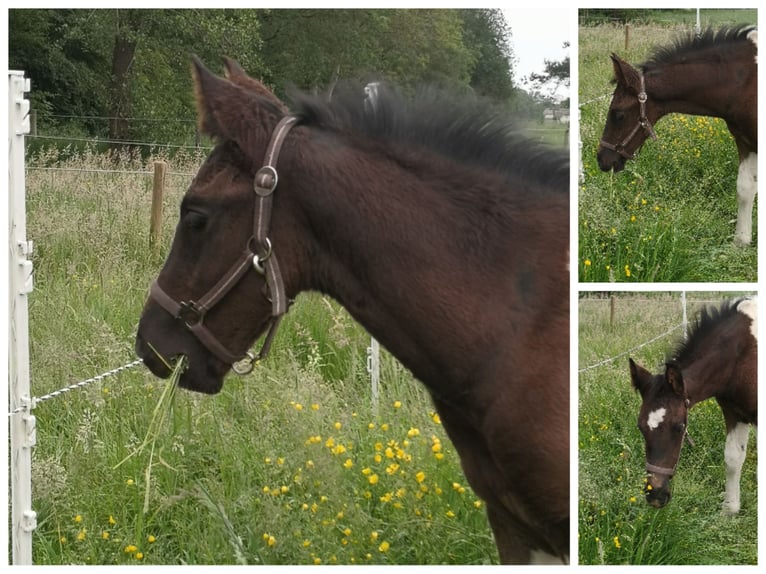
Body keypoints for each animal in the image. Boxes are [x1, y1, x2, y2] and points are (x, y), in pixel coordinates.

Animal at [600, 25, 760, 248]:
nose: (602, 159)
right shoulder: (745, 140)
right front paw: (741, 241)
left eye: (619, 114)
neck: (744, 82)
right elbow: (745, 188)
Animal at [632, 300, 760, 516]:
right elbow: (733, 457)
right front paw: (729, 510)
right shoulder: (735, 412)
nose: (655, 496)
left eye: (679, 427)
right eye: (641, 427)